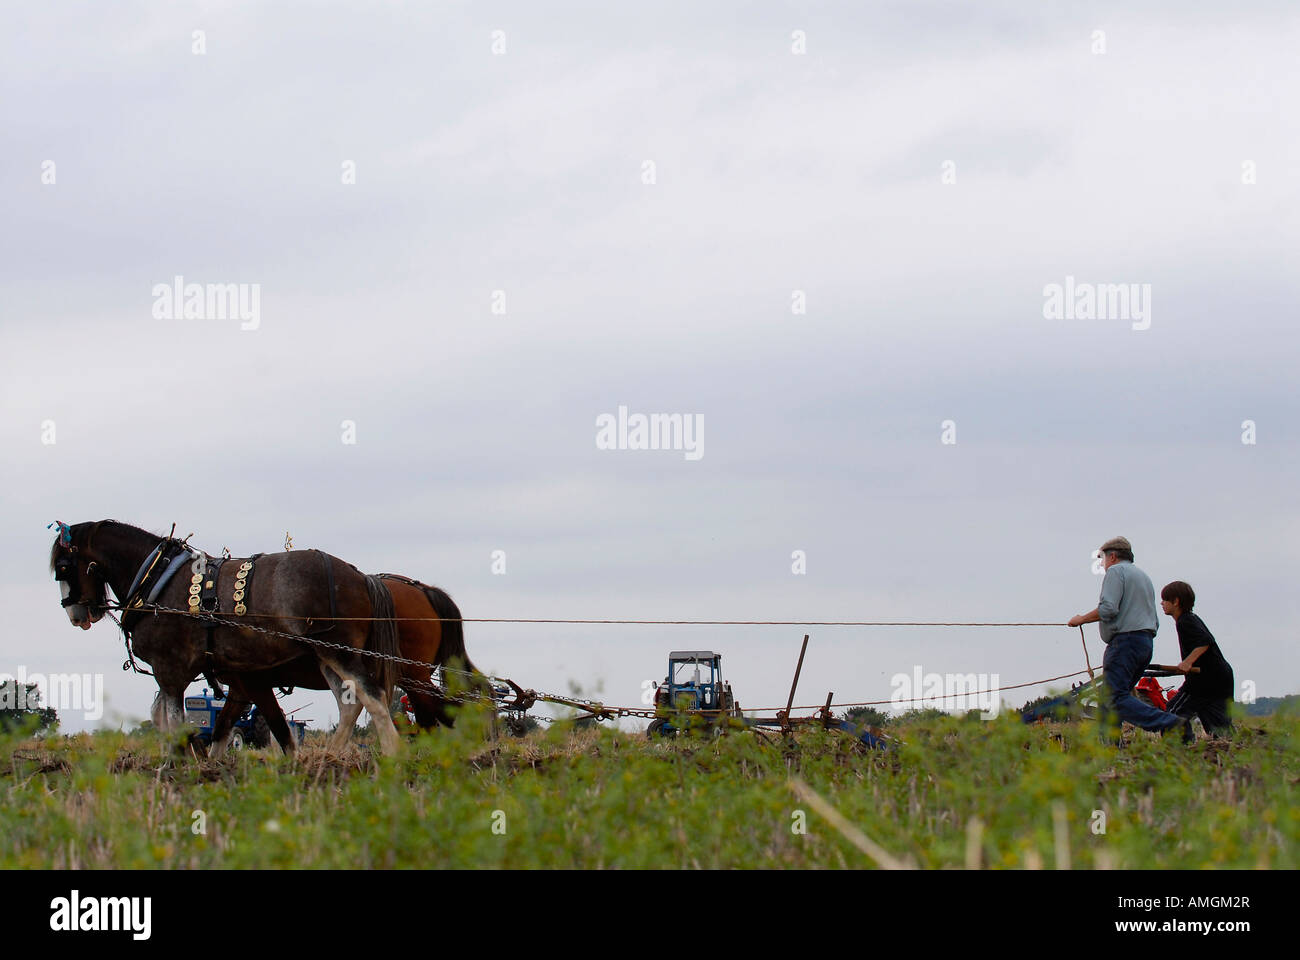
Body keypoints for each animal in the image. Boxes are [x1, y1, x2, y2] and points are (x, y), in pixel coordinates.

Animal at [49, 519, 404, 755]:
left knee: (374, 699)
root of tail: (360, 576)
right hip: (324, 656)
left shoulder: (170, 669)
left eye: (63, 567)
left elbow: (176, 723)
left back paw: (392, 757)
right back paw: (328, 759)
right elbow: (195, 725)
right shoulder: (221, 678)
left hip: (340, 651)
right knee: (350, 706)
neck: (157, 579)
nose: (75, 615)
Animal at [205, 573, 486, 755]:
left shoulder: (255, 683)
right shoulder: (240, 688)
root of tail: (425, 590)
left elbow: (276, 726)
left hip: (414, 675)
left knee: (438, 716)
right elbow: (222, 727)